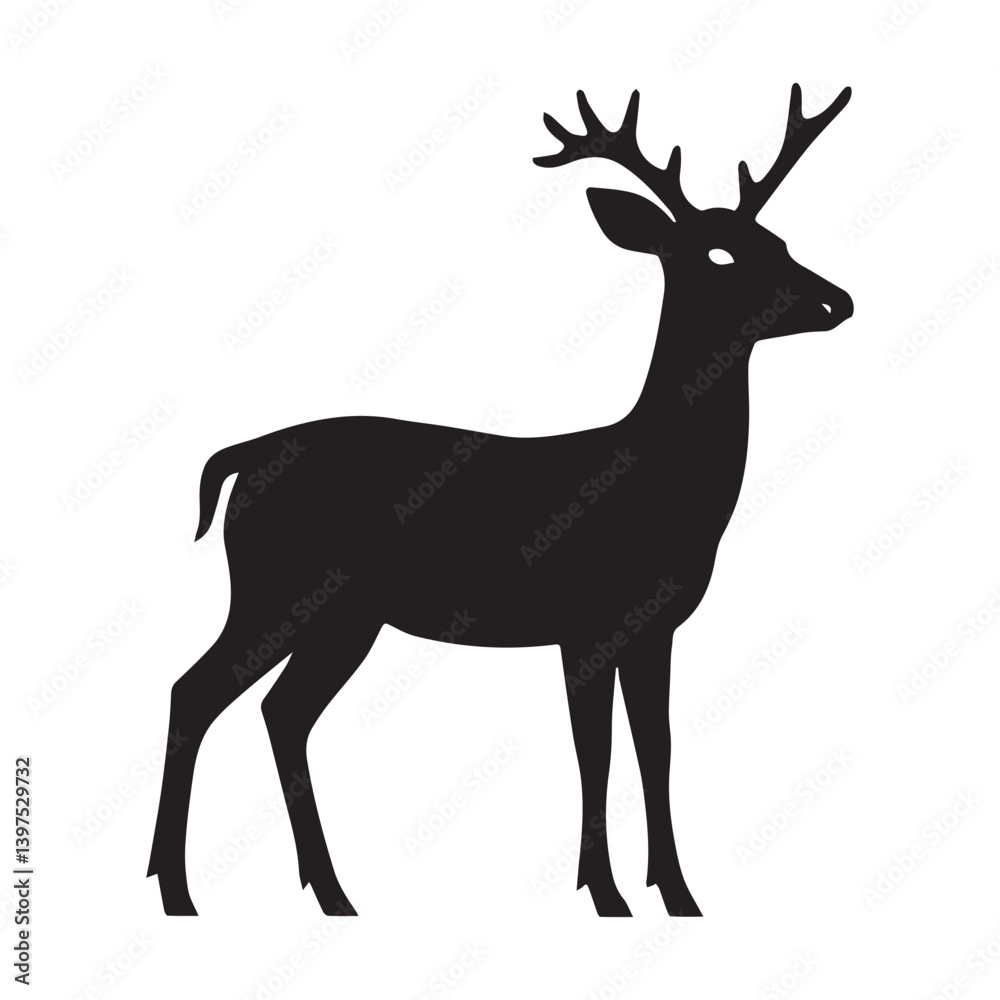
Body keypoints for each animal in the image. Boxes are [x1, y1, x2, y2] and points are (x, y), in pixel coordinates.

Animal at [147, 83, 853, 918]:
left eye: (778, 239)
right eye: (719, 253)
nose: (837, 301)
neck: (660, 487)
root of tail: (240, 458)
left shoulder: (656, 626)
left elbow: (657, 747)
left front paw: (678, 894)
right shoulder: (585, 620)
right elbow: (594, 751)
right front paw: (604, 894)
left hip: (344, 614)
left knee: (280, 712)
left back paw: (330, 891)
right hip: (276, 584)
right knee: (196, 691)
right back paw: (177, 889)